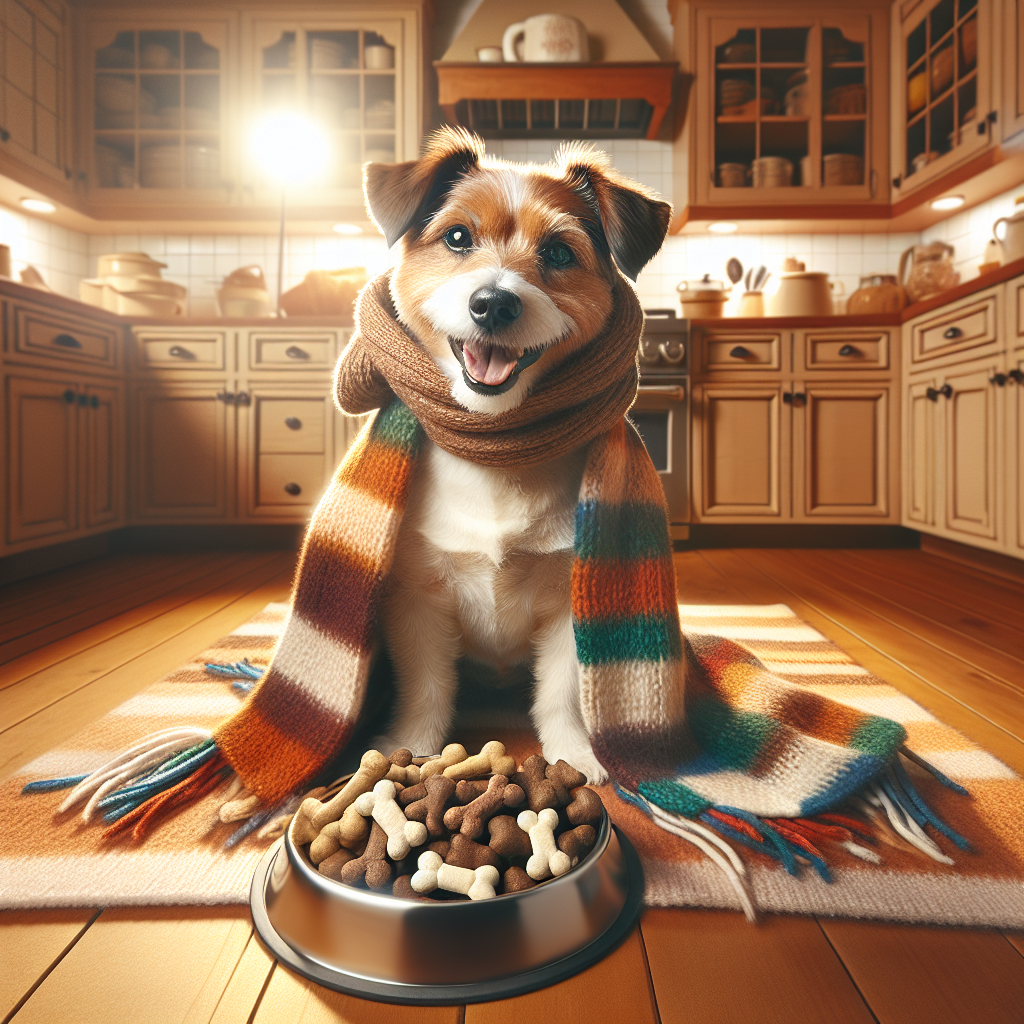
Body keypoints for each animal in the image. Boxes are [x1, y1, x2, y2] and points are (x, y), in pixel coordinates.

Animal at [362, 130, 671, 782]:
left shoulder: (568, 610)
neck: (497, 452)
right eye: (457, 237)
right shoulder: (417, 601)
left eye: (557, 252)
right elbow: (427, 688)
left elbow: (561, 694)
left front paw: (573, 752)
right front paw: (413, 748)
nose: (493, 304)